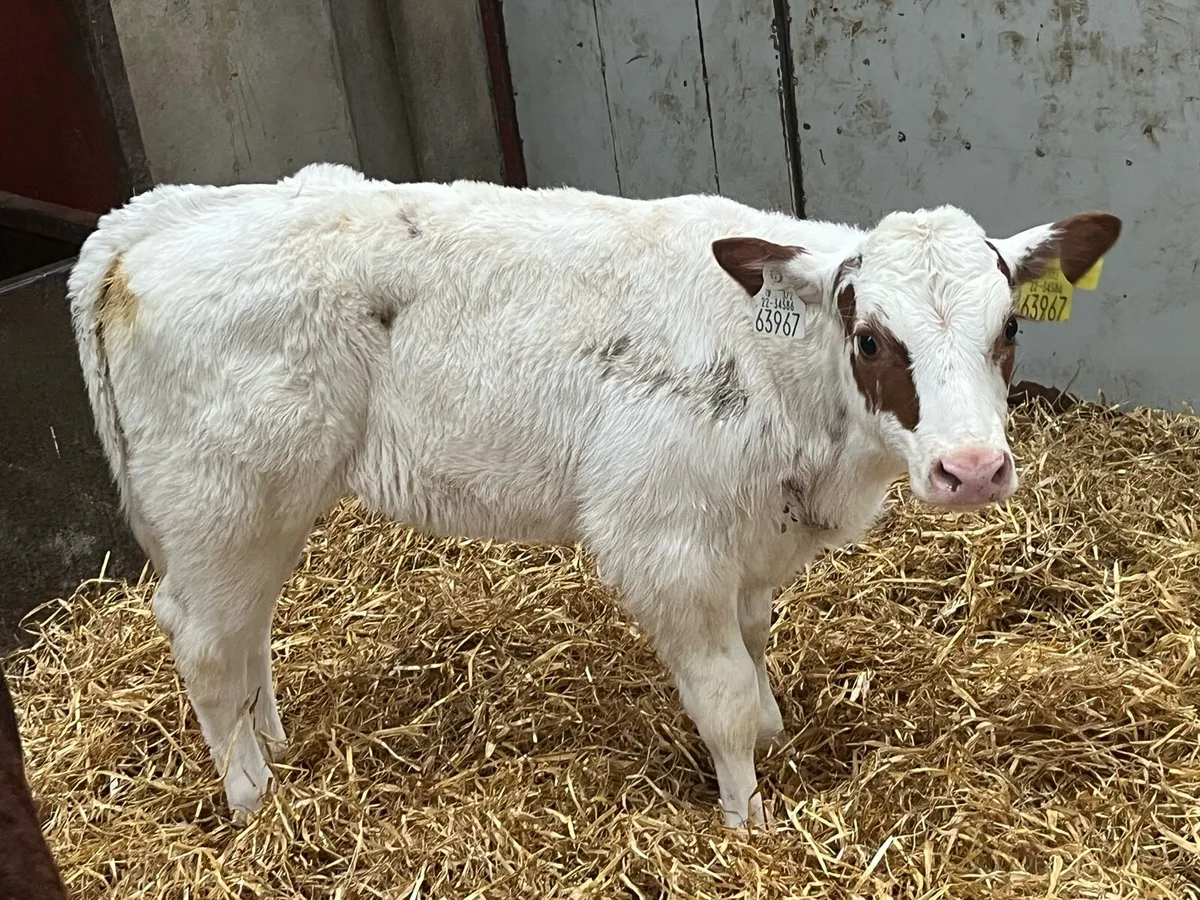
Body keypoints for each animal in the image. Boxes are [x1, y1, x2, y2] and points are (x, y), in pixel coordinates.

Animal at [68, 163, 1120, 827]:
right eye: (870, 339)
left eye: (1011, 326)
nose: (972, 469)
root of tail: (150, 221)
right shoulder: (667, 540)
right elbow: (721, 698)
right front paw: (748, 817)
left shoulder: (747, 544)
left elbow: (754, 654)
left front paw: (776, 735)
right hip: (223, 497)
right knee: (205, 643)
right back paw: (254, 798)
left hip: (263, 507)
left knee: (248, 627)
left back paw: (276, 747)